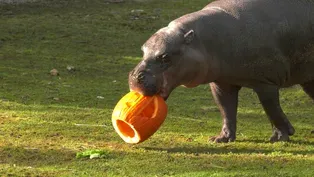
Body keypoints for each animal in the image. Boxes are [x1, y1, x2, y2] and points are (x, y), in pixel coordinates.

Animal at [127, 0, 314, 143]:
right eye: (143, 49)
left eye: (165, 57)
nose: (135, 76)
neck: (202, 41)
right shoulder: (221, 83)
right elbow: (226, 109)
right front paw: (220, 139)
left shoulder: (265, 83)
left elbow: (272, 109)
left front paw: (279, 138)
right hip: (308, 80)